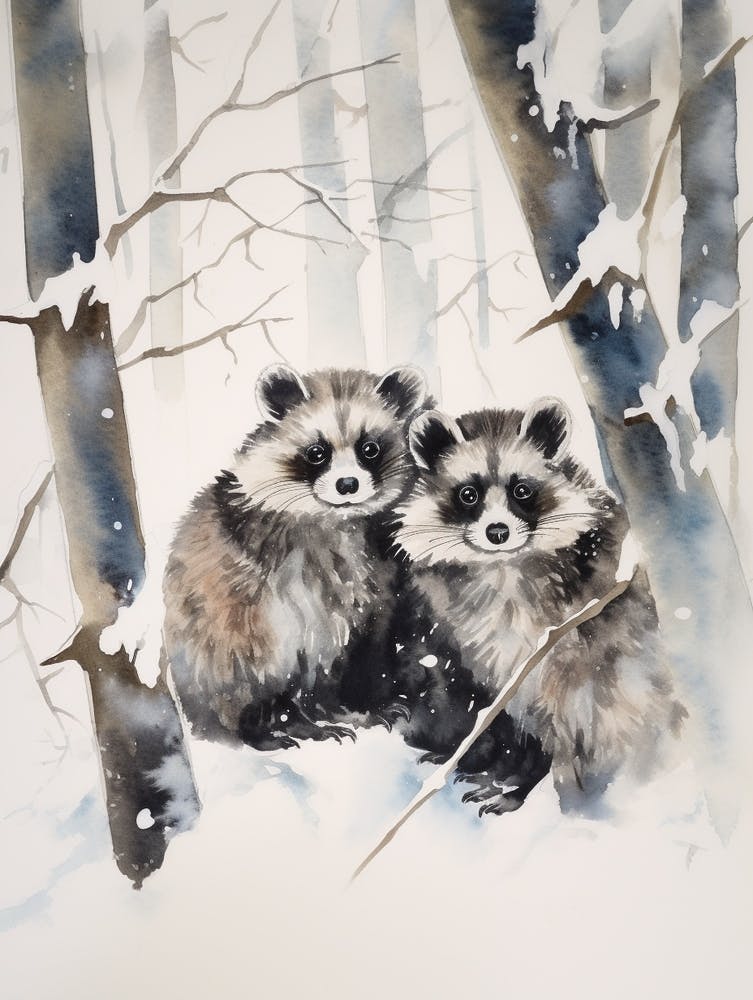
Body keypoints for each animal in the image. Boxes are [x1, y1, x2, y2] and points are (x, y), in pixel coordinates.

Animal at [163, 364, 427, 751]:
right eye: (317, 452)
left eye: (370, 449)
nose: (347, 485)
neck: (338, 518)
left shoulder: (372, 569)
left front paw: (350, 709)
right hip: (225, 635)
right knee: (257, 671)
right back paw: (263, 725)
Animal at [393, 398, 686, 811]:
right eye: (468, 494)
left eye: (521, 490)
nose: (497, 532)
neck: (503, 567)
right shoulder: (479, 645)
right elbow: (509, 709)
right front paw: (512, 768)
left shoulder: (571, 636)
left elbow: (561, 712)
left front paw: (530, 782)